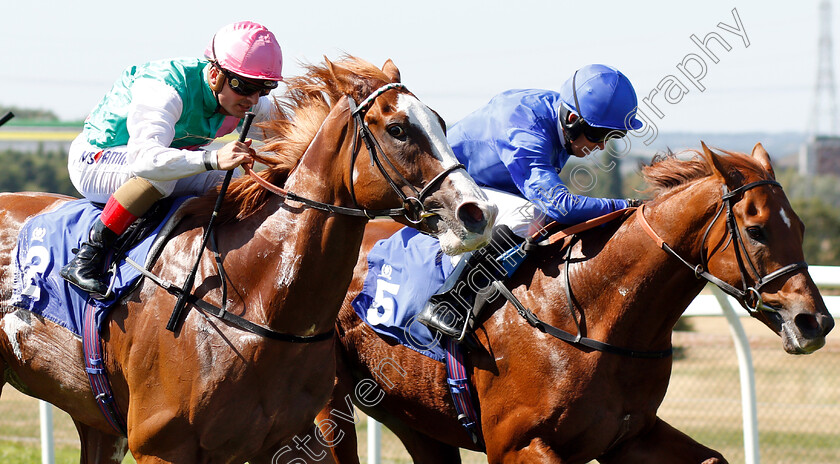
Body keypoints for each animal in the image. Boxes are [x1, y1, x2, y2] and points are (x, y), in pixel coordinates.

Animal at [0, 56, 496, 462]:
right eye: (397, 129)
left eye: (441, 122)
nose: (479, 212)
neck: (254, 300)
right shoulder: (161, 444)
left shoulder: (290, 441)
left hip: (96, 421)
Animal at [316, 143, 832, 462]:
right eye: (757, 230)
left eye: (803, 227)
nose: (815, 322)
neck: (594, 314)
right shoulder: (519, 445)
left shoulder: (630, 436)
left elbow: (713, 458)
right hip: (332, 405)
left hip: (415, 417)